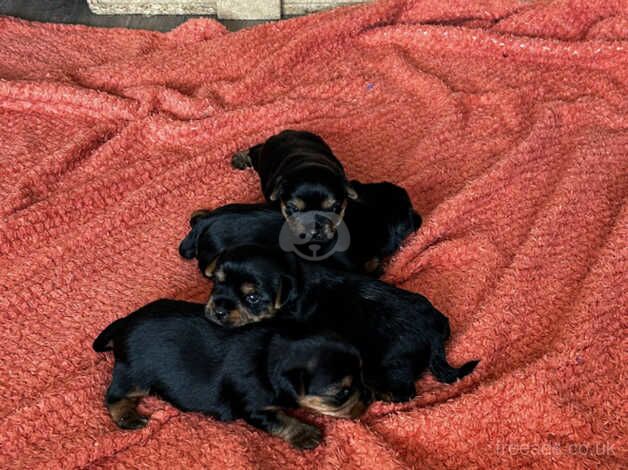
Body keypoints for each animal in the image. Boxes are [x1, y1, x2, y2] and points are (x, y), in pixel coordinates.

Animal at [92, 300, 368, 450]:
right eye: (342, 393)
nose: (368, 401)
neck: (271, 355)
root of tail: (124, 323)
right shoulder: (254, 407)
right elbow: (282, 420)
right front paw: (306, 434)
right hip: (134, 375)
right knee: (114, 395)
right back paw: (128, 416)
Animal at [204, 246, 478, 404]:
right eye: (217, 283)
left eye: (252, 298)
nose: (217, 310)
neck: (295, 283)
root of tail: (435, 333)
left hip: (389, 362)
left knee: (404, 391)